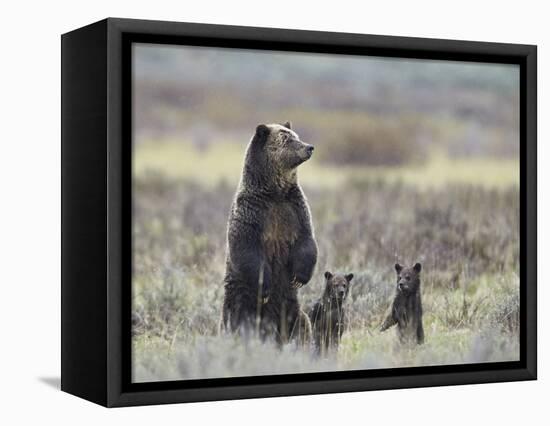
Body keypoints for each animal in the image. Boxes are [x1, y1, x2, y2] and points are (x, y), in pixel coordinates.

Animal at [223, 121, 320, 344]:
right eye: (287, 139)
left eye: (296, 135)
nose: (309, 147)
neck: (275, 193)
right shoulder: (252, 213)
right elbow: (246, 249)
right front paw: (265, 288)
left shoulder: (295, 209)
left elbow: (307, 241)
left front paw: (299, 277)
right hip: (239, 299)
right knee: (237, 320)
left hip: (291, 307)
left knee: (301, 323)